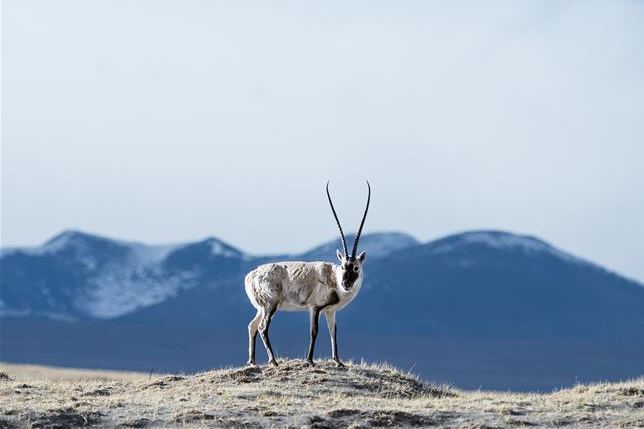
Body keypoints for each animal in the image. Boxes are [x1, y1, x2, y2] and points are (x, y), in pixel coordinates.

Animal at [243, 180, 372, 364]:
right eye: (342, 266)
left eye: (355, 267)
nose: (346, 283)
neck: (333, 278)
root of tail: (251, 276)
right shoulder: (315, 307)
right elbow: (314, 331)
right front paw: (310, 360)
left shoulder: (330, 311)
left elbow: (333, 331)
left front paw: (338, 361)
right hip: (271, 305)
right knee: (262, 327)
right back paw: (273, 361)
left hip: (261, 307)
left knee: (252, 326)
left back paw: (252, 361)